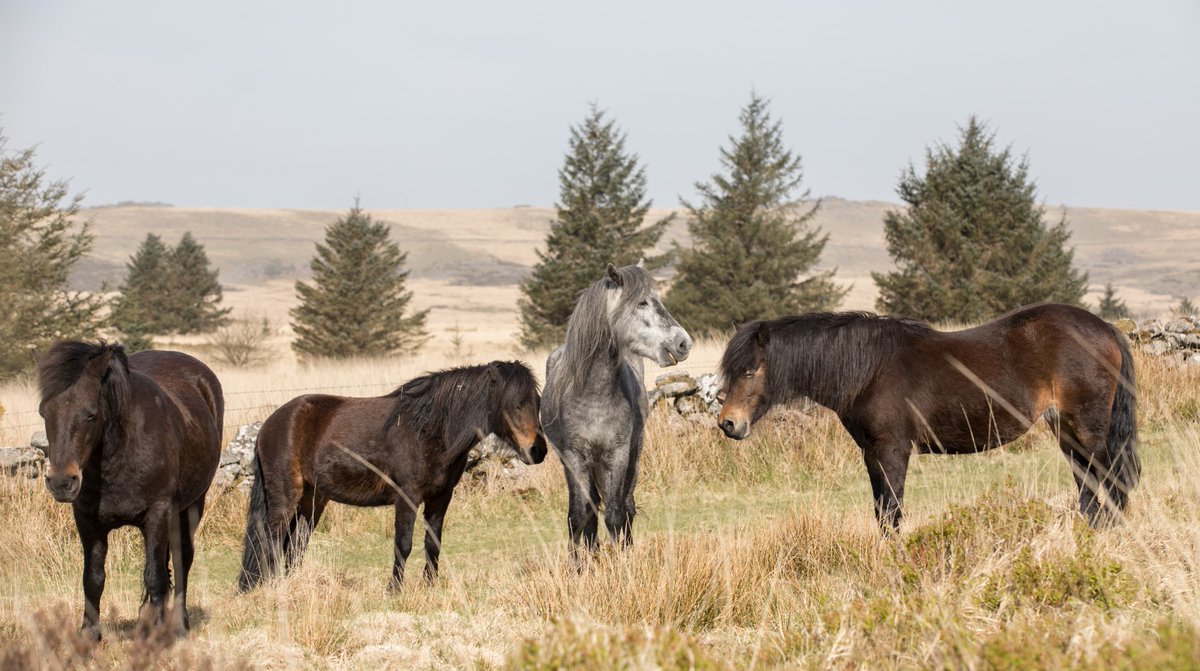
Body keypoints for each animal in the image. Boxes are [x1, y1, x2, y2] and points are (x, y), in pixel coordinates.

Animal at [36, 341, 224, 640]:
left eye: (90, 414)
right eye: (44, 412)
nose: (62, 483)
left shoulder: (157, 513)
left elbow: (155, 576)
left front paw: (154, 637)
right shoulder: (87, 520)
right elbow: (93, 578)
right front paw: (89, 635)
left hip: (192, 506)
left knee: (182, 560)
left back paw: (179, 625)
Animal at [237, 360, 546, 592]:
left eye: (537, 401)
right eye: (515, 404)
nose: (538, 450)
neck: (429, 431)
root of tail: (269, 424)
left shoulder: (441, 498)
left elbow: (433, 543)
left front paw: (430, 586)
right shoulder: (407, 497)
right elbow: (403, 544)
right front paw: (394, 589)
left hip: (312, 501)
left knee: (295, 546)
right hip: (286, 496)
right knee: (271, 540)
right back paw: (274, 587)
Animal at [542, 263, 692, 557]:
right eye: (642, 302)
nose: (683, 343)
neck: (592, 394)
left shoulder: (619, 453)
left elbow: (615, 514)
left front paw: (622, 562)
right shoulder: (573, 457)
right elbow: (578, 516)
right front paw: (579, 565)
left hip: (633, 454)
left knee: (627, 504)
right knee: (589, 511)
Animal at [716, 303, 1140, 531]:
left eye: (750, 371)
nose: (728, 423)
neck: (869, 369)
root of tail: (1105, 328)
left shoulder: (892, 451)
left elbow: (892, 513)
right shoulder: (872, 454)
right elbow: (881, 513)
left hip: (1088, 431)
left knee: (1109, 484)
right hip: (1067, 432)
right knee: (1089, 490)